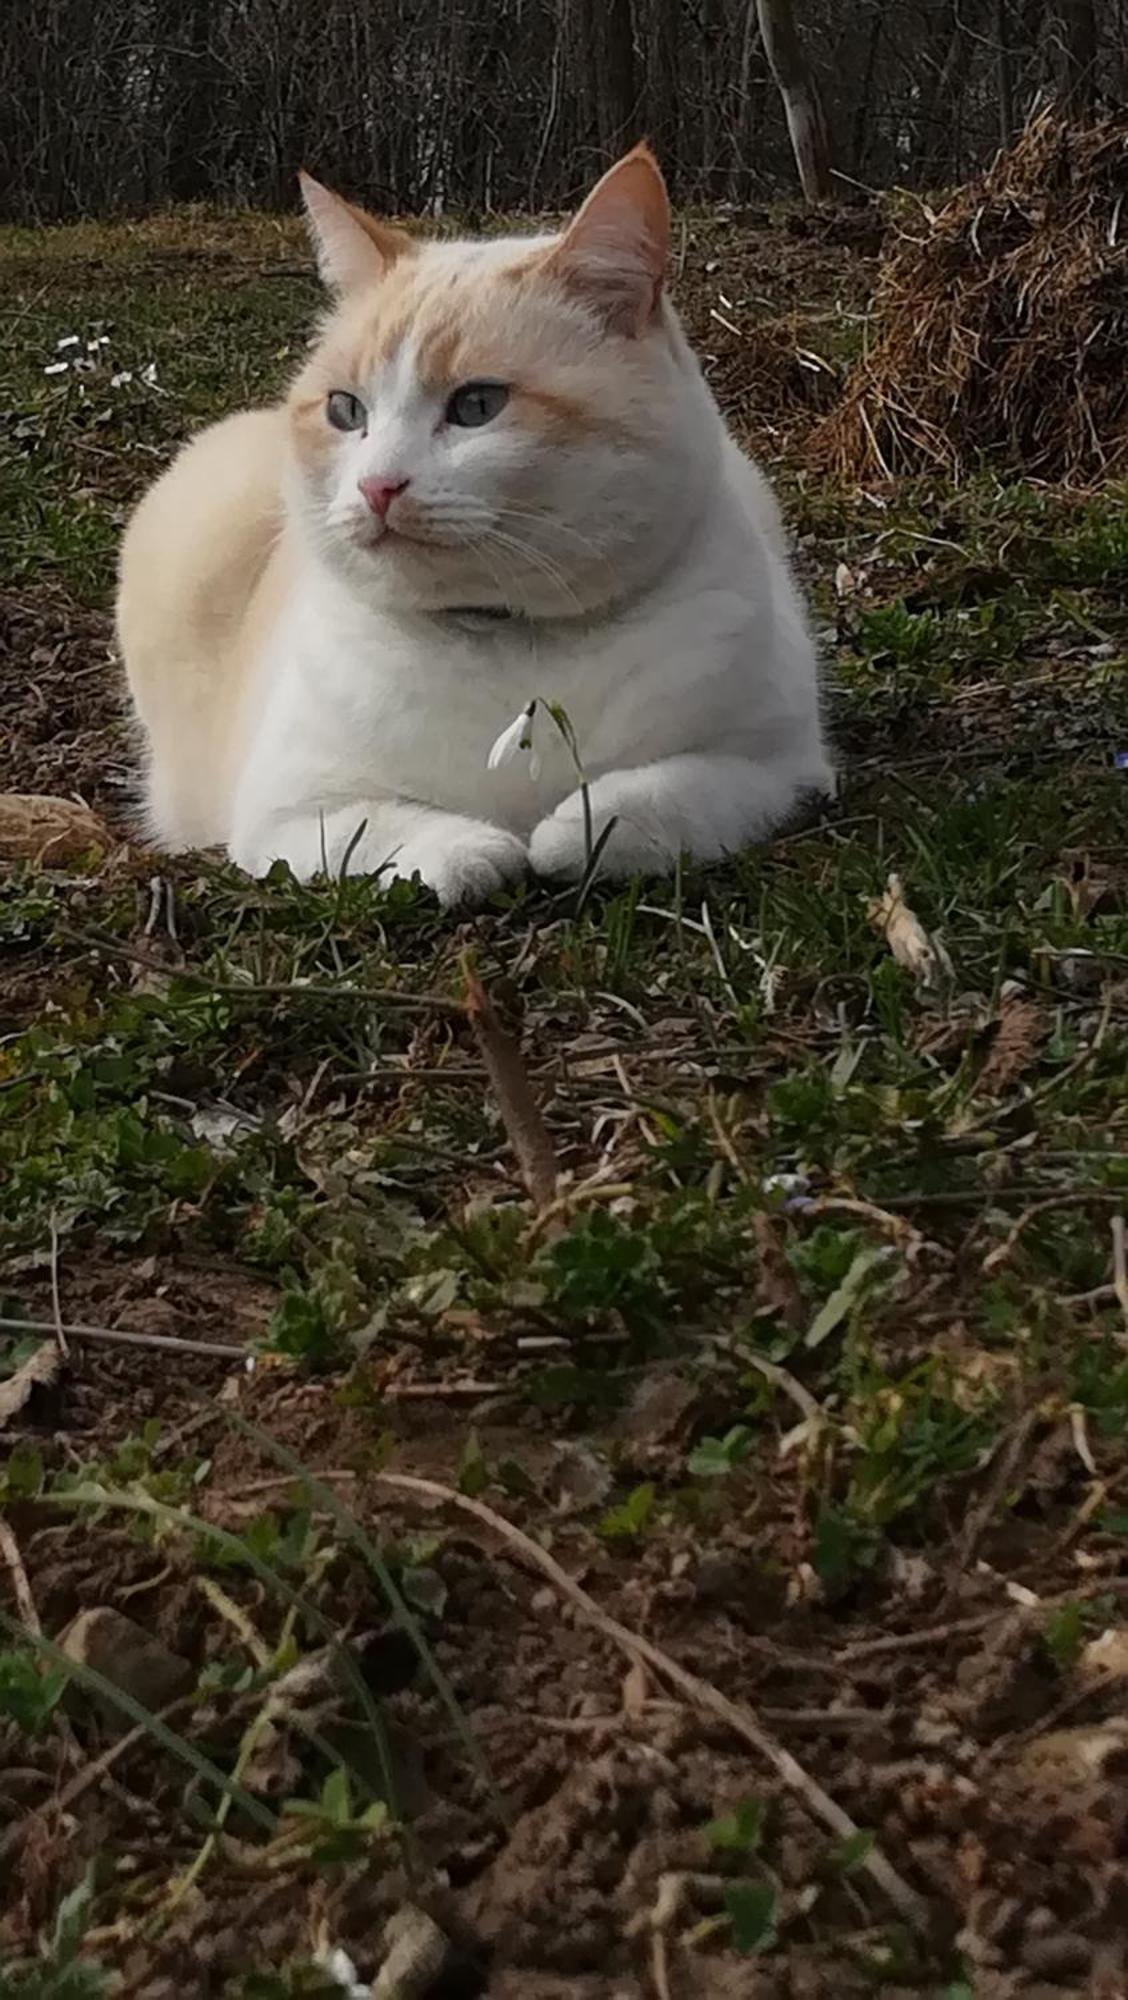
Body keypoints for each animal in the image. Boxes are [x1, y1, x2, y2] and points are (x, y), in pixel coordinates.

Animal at [119, 145, 832, 912]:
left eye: (477, 406)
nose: (377, 486)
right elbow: (398, 830)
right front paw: (482, 853)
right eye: (345, 411)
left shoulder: (777, 770)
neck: (506, 638)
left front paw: (565, 836)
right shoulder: (289, 815)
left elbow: (641, 802)